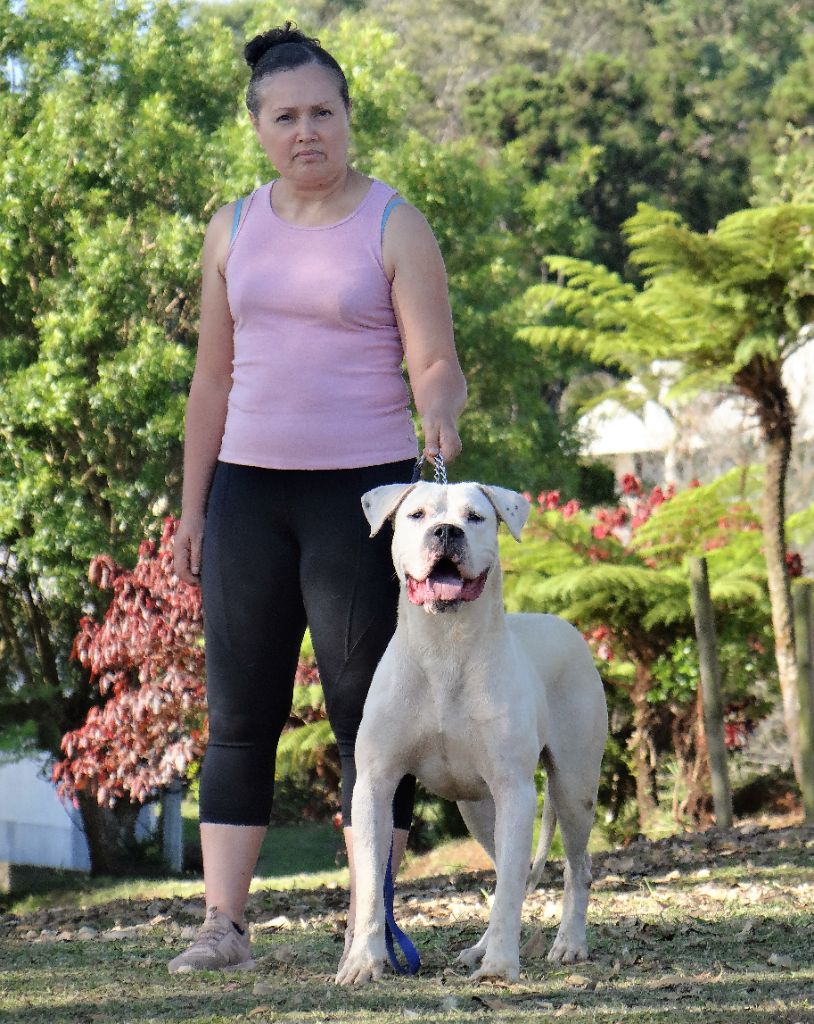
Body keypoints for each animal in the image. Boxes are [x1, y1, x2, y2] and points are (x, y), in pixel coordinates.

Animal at [335, 481, 608, 986]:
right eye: (417, 514)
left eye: (476, 517)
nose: (446, 531)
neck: (445, 646)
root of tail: (565, 626)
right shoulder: (375, 786)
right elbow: (371, 885)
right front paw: (364, 961)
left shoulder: (515, 790)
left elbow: (512, 889)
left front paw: (501, 964)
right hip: (479, 809)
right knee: (505, 873)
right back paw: (481, 948)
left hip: (573, 787)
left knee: (574, 868)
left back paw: (568, 944)